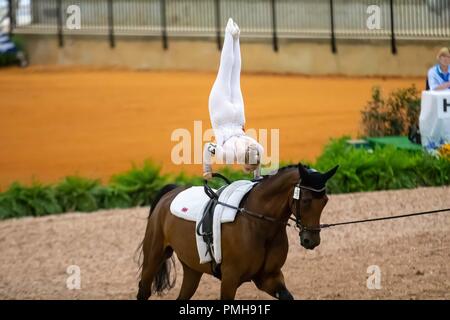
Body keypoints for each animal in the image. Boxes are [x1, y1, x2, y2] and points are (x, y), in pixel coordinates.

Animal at [137, 162, 338, 300]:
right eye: (306, 201)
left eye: (325, 201)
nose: (311, 240)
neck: (259, 225)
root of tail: (171, 192)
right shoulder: (230, 279)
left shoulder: (269, 277)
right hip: (154, 256)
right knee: (144, 289)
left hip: (192, 269)